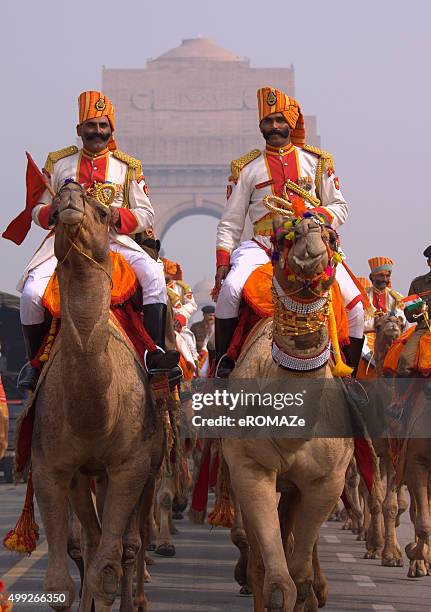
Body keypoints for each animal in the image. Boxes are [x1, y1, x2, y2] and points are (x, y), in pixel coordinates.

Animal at [30, 183, 165, 612]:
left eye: (104, 211)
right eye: (54, 211)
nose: (72, 192)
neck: (94, 417)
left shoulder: (131, 465)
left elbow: (109, 565)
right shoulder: (51, 465)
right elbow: (60, 582)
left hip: (150, 463)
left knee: (130, 543)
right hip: (85, 475)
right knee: (90, 539)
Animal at [221, 212, 356, 612]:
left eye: (331, 236)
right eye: (282, 238)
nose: (309, 233)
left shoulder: (327, 480)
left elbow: (298, 576)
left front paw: (312, 590)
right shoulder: (249, 467)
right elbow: (276, 582)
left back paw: (321, 589)